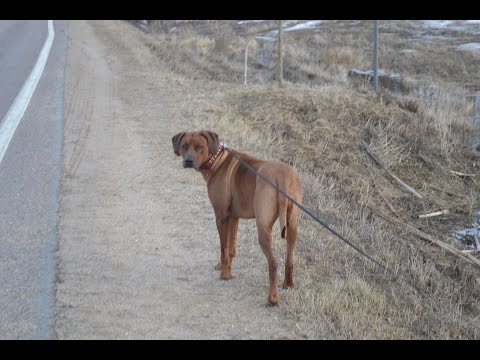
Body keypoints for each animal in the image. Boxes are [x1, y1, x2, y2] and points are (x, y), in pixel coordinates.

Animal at [171, 129, 302, 304]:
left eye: (199, 147)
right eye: (185, 146)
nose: (189, 161)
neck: (216, 159)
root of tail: (282, 177)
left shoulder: (221, 217)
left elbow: (223, 248)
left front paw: (224, 274)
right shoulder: (233, 217)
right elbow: (231, 247)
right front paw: (226, 268)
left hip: (263, 227)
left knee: (274, 264)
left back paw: (273, 298)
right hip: (292, 225)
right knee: (289, 259)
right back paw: (288, 284)